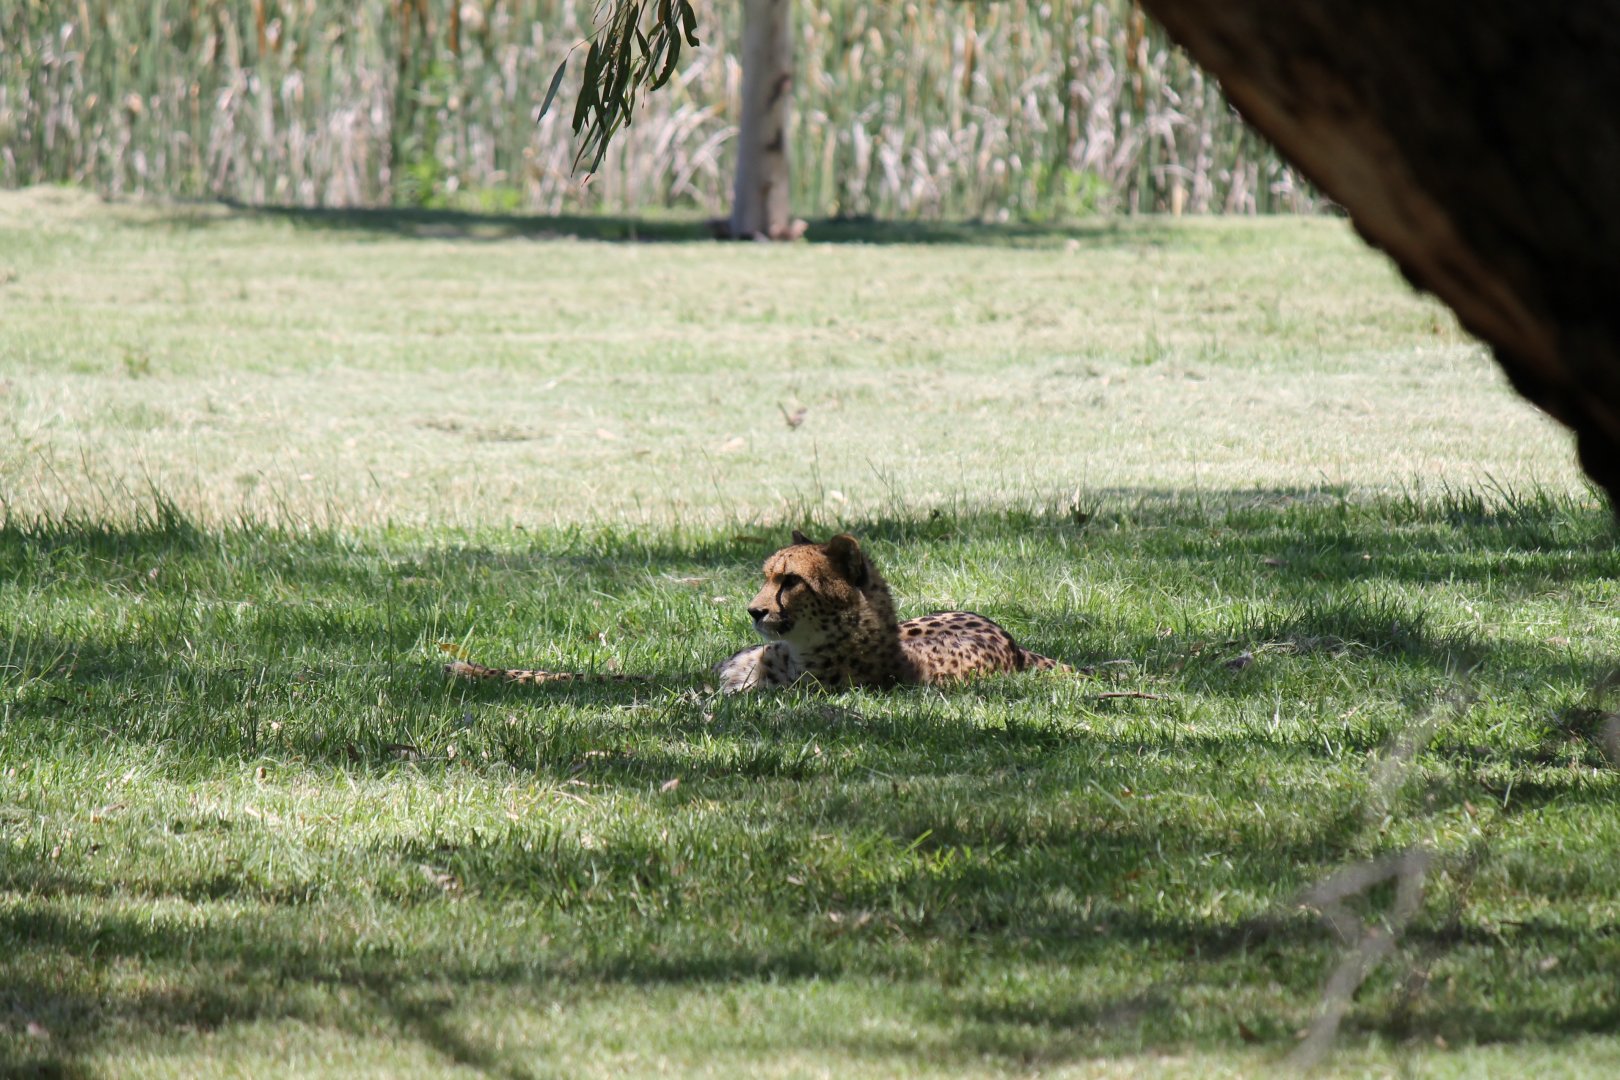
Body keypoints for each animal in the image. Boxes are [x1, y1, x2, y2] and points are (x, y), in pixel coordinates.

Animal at [445, 530, 1065, 693]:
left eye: (791, 581)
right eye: (767, 575)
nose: (753, 611)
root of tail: (1014, 643)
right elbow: (595, 676)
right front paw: (471, 667)